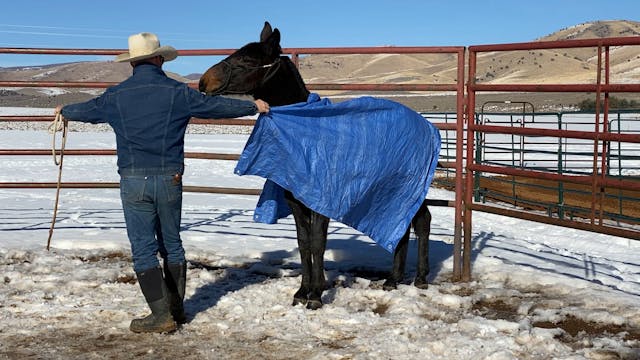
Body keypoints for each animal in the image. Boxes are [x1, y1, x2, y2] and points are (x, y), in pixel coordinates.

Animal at [199, 22, 430, 310]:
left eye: (247, 60)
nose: (204, 81)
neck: (304, 132)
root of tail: (426, 126)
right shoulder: (296, 202)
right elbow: (304, 243)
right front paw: (302, 291)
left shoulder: (321, 202)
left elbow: (318, 243)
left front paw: (317, 295)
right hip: (394, 191)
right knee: (402, 226)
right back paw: (393, 279)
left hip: (411, 187)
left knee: (422, 222)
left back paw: (421, 278)